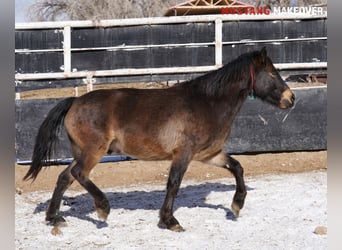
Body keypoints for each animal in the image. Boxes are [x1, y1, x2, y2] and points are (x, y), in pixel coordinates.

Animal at [23, 47, 294, 231]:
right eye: (272, 74)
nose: (291, 99)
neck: (208, 103)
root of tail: (75, 101)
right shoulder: (183, 154)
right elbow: (173, 184)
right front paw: (170, 221)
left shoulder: (208, 155)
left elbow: (237, 167)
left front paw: (236, 205)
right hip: (93, 151)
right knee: (79, 174)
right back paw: (102, 209)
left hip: (82, 151)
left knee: (65, 177)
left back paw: (54, 217)